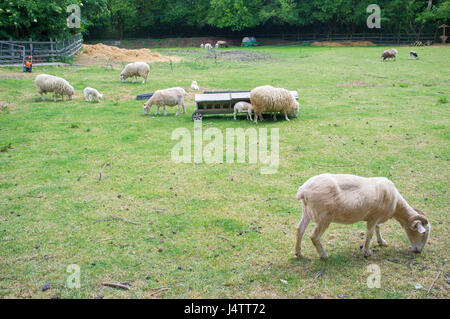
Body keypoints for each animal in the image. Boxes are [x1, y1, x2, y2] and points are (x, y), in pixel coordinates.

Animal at [294, 175, 430, 260]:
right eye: (423, 234)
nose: (418, 251)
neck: (396, 205)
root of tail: (303, 191)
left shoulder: (376, 217)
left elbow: (378, 228)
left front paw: (381, 242)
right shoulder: (374, 217)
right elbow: (370, 234)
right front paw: (367, 251)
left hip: (306, 212)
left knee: (299, 230)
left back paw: (298, 253)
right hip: (324, 217)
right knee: (314, 236)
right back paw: (323, 255)